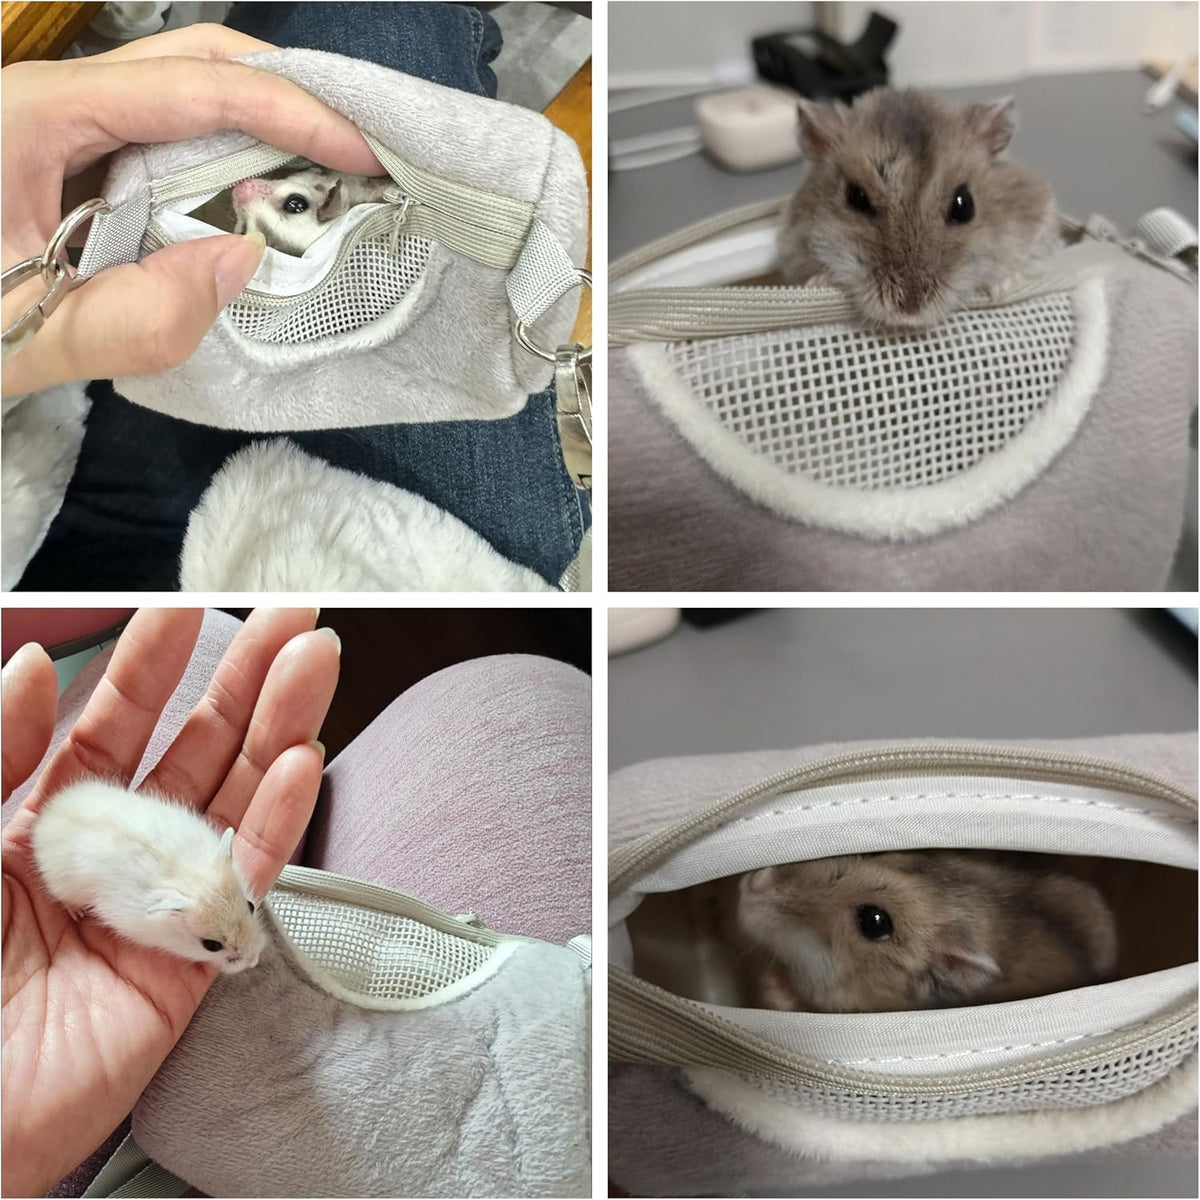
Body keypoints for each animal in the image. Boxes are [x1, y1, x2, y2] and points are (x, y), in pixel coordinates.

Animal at [32, 779, 266, 974]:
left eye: (251, 906)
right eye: (212, 945)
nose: (254, 961)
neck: (185, 874)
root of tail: (47, 813)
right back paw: (77, 912)